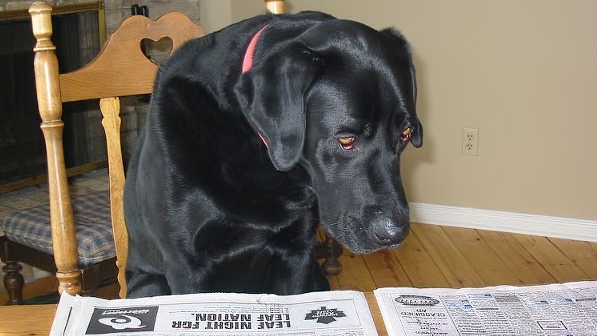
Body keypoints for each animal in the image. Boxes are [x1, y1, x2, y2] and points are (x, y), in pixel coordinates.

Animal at [123, 11, 422, 298]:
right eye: (346, 140)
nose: (394, 234)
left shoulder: (296, 252)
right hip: (150, 285)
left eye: (406, 134)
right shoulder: (188, 267)